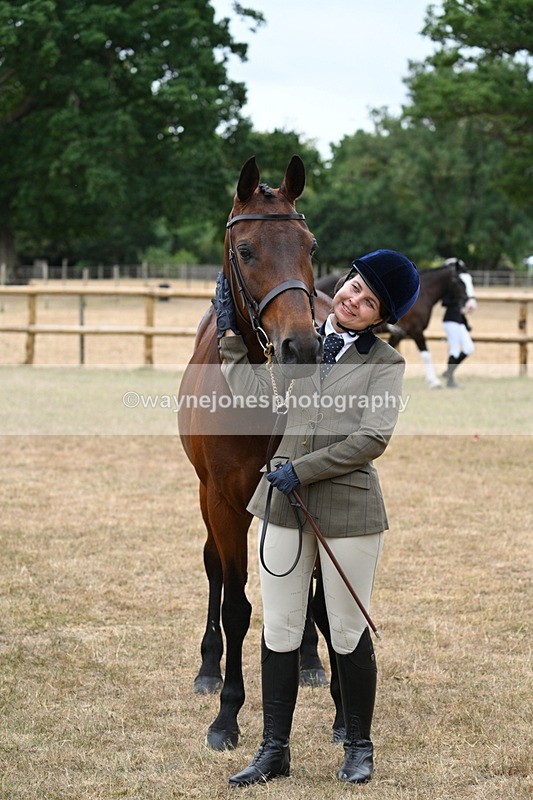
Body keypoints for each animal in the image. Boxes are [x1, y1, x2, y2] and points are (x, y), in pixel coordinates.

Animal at [177, 156, 339, 751]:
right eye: (246, 251)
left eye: (310, 246)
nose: (302, 346)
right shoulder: (223, 501)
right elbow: (236, 605)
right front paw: (226, 714)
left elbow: (310, 589)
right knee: (214, 570)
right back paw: (206, 669)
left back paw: (312, 661)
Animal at [316, 263, 467, 388]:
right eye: (460, 281)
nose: (469, 303)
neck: (424, 295)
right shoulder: (416, 330)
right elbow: (426, 355)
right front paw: (434, 382)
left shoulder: (399, 334)